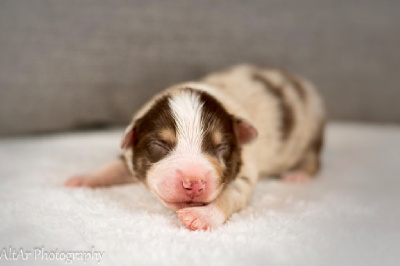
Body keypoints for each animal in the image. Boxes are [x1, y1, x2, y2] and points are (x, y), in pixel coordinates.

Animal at [63, 64, 324, 231]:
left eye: (221, 147)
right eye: (159, 144)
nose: (193, 183)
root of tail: (299, 81)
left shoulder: (245, 171)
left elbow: (229, 195)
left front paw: (201, 217)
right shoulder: (130, 154)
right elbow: (113, 166)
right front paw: (85, 178)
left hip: (312, 127)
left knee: (313, 158)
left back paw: (299, 174)